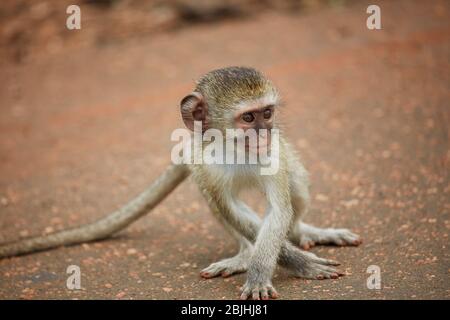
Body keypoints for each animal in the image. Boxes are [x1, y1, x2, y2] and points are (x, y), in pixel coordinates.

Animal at [0, 66, 360, 298]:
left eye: (267, 113)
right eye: (248, 118)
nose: (265, 135)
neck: (234, 149)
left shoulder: (272, 155)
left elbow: (278, 210)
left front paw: (268, 269)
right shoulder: (202, 163)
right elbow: (232, 208)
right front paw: (281, 264)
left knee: (294, 189)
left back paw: (301, 232)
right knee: (219, 203)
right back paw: (245, 254)